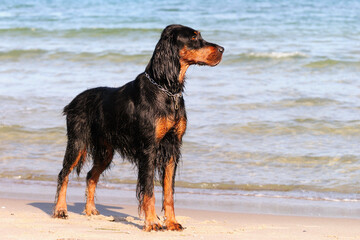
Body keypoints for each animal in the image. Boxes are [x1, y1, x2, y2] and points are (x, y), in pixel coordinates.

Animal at [53, 23, 224, 231]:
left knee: (90, 175)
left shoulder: (172, 148)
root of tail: (74, 101)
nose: (222, 49)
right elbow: (149, 189)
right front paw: (152, 222)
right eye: (193, 37)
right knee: (63, 174)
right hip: (77, 142)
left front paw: (172, 222)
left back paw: (90, 209)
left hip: (105, 151)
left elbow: (169, 191)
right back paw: (60, 210)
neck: (167, 90)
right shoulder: (148, 148)